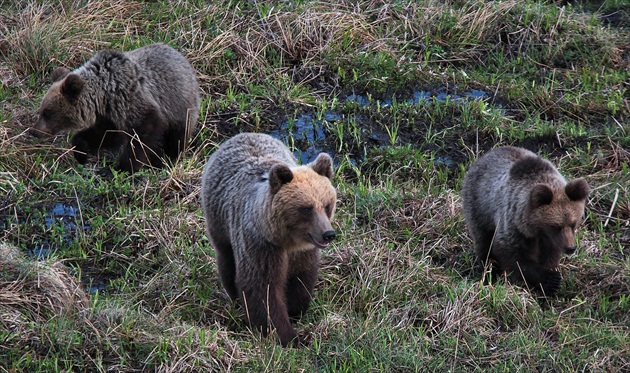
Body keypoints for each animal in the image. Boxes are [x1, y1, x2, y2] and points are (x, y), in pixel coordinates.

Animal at [202, 132, 340, 346]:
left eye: (327, 204)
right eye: (306, 208)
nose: (328, 234)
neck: (287, 241)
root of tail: (241, 135)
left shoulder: (304, 252)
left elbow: (301, 279)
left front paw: (295, 311)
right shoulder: (261, 246)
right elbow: (263, 289)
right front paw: (288, 335)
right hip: (219, 218)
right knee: (226, 257)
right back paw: (234, 295)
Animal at [462, 145, 592, 294]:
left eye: (573, 223)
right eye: (555, 226)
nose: (571, 248)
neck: (536, 231)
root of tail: (483, 157)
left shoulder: (550, 240)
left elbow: (550, 254)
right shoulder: (513, 224)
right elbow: (512, 254)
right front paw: (550, 280)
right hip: (479, 207)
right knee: (484, 241)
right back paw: (489, 272)